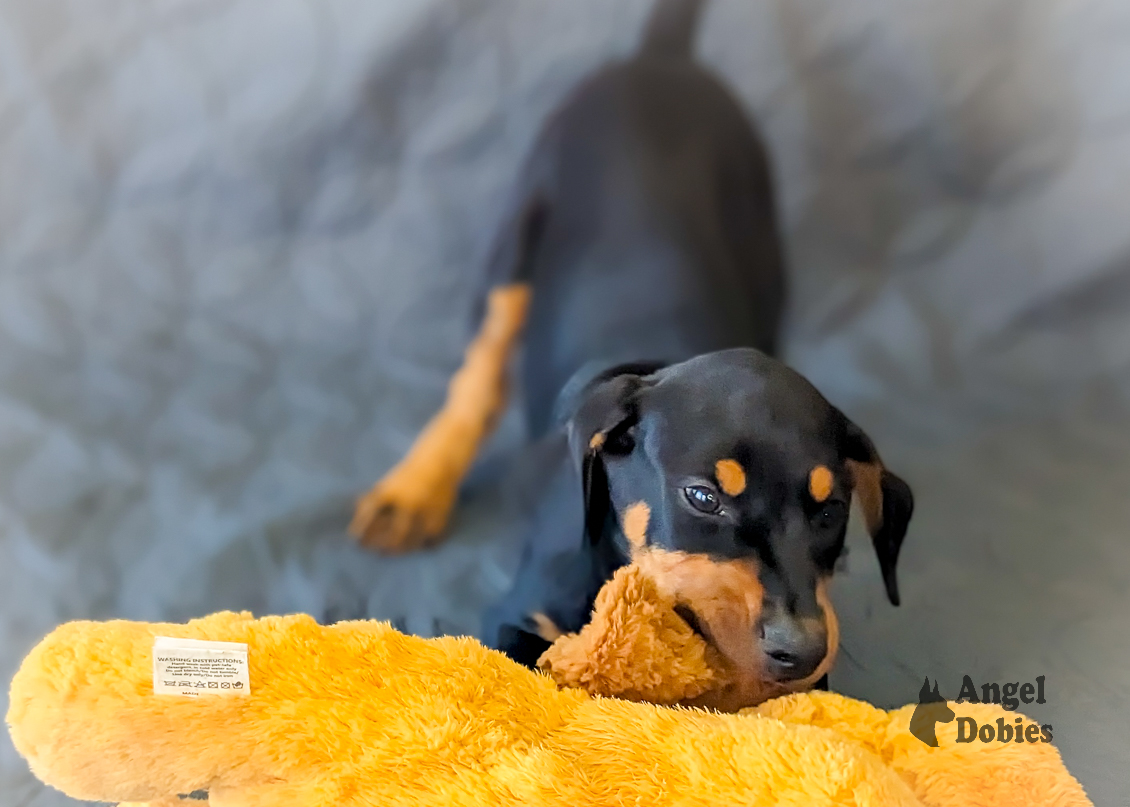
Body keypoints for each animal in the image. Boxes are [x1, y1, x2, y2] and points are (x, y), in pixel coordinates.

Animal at [348, 0, 913, 705]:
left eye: (832, 510)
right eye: (703, 498)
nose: (801, 651)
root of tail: (661, 59)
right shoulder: (517, 616)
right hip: (520, 230)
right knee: (481, 369)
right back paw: (413, 493)